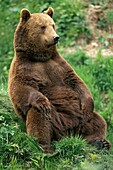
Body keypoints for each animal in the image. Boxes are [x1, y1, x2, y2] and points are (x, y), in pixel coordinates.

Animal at [8, 7, 111, 153]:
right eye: (42, 26)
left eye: (53, 25)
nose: (56, 37)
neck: (40, 58)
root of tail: (70, 133)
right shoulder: (23, 68)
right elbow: (20, 88)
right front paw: (42, 102)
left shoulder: (59, 66)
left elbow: (76, 82)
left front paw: (87, 105)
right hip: (56, 122)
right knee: (39, 117)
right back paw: (44, 146)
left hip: (82, 121)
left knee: (98, 121)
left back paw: (99, 142)